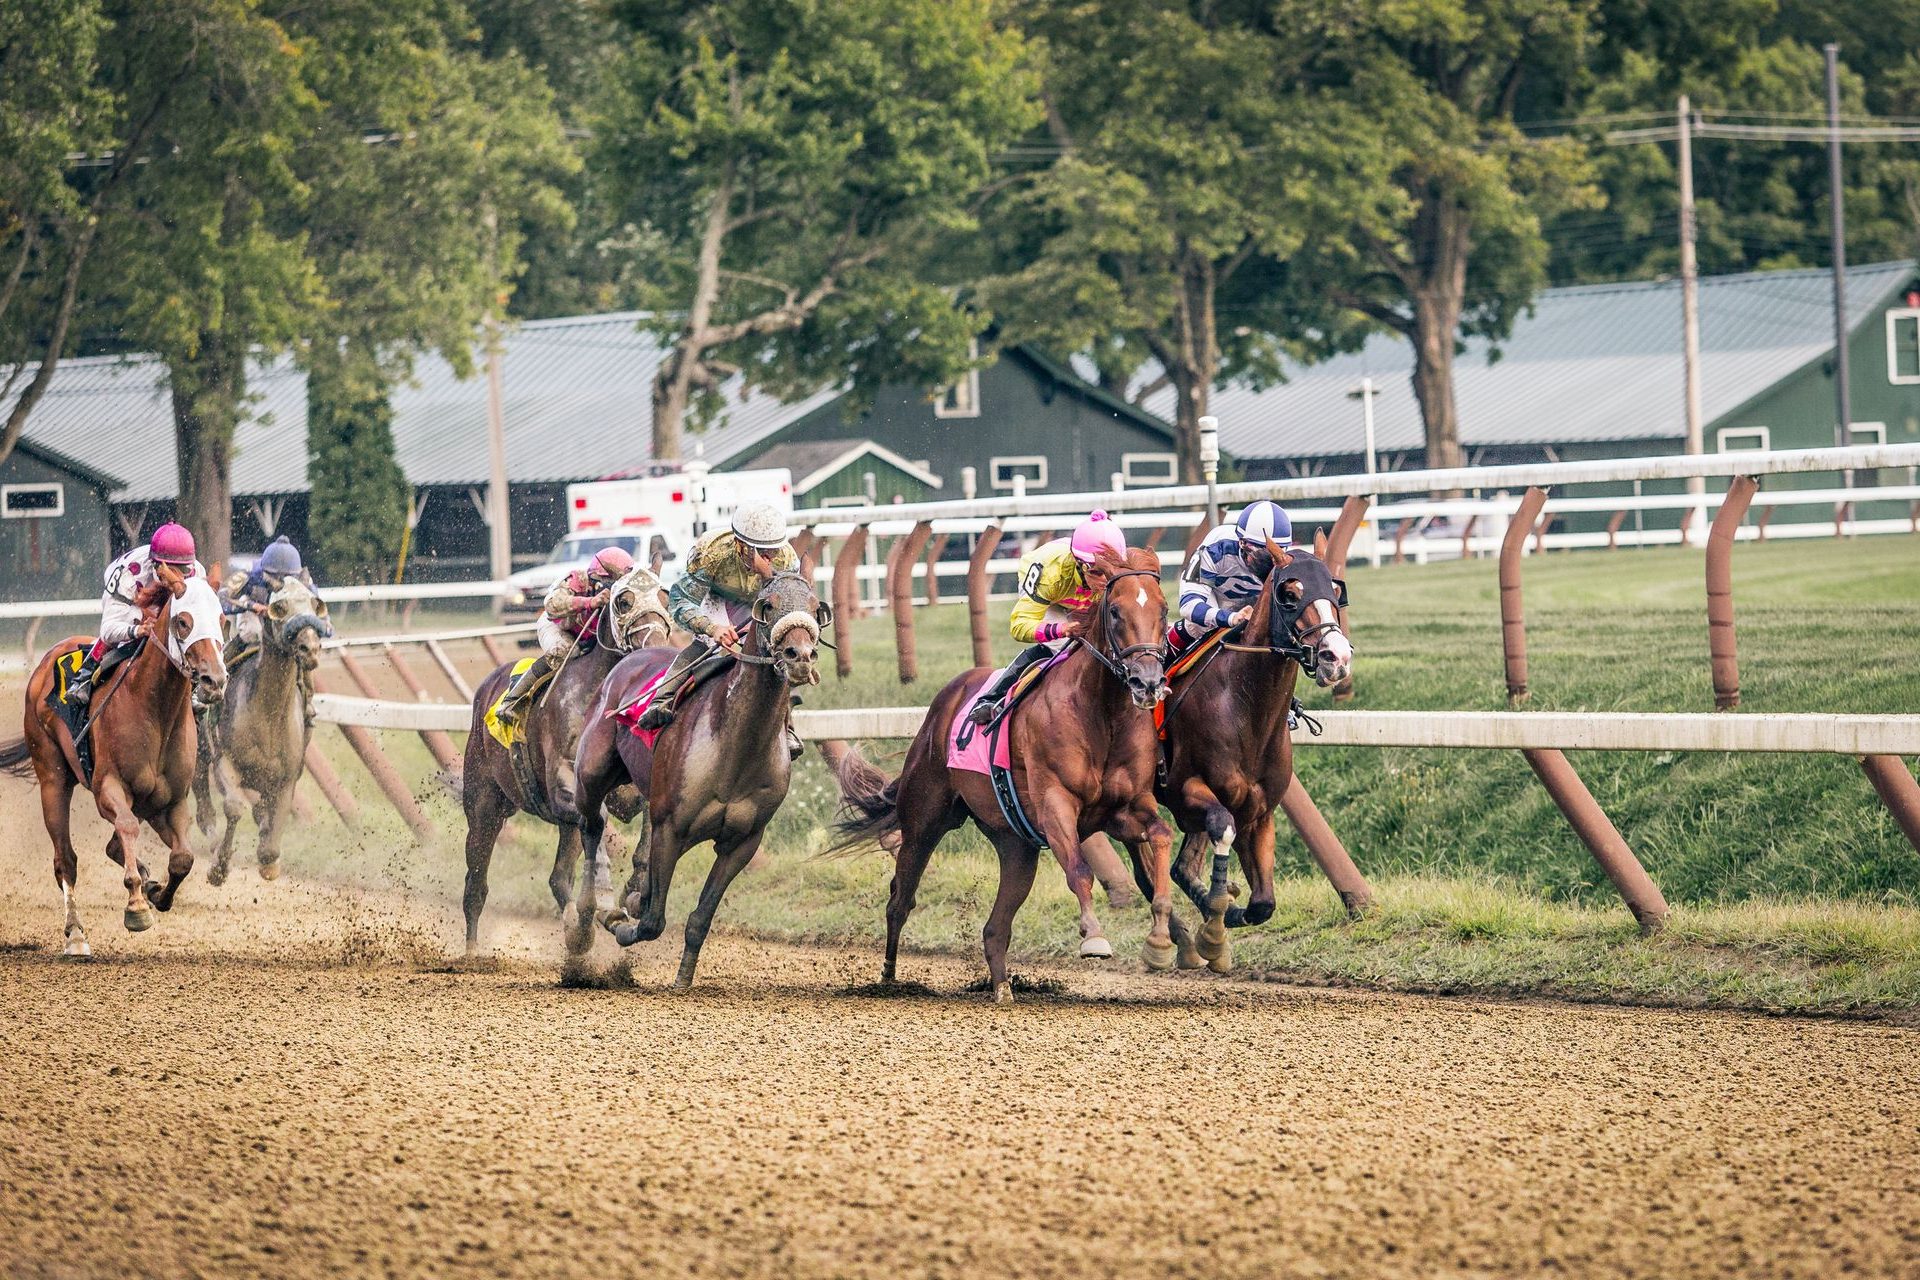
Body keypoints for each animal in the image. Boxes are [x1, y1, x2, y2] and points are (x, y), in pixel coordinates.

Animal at [0, 564, 228, 955]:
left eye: (222, 618)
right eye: (183, 622)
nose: (215, 680)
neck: (155, 709)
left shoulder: (171, 800)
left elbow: (182, 858)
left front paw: (157, 892)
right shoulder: (109, 787)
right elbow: (127, 828)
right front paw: (137, 905)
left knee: (114, 846)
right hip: (53, 777)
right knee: (66, 859)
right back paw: (76, 934)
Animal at [195, 579, 330, 882]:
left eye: (314, 604)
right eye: (279, 607)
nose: (310, 648)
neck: (268, 718)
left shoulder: (287, 777)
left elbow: (270, 845)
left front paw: (270, 862)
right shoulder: (224, 760)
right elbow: (233, 807)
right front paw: (219, 867)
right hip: (196, 753)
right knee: (203, 805)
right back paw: (212, 845)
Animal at [568, 571, 825, 990]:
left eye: (816, 607)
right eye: (768, 605)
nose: (799, 656)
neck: (736, 749)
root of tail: (629, 659)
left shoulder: (742, 843)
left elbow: (700, 918)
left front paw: (684, 978)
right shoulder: (671, 828)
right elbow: (653, 922)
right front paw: (622, 925)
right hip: (591, 776)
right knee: (590, 829)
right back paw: (589, 920)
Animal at [825, 545, 1167, 1005]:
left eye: (1163, 608)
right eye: (1114, 611)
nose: (1147, 683)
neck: (1101, 712)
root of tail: (942, 704)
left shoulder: (1125, 807)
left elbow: (1160, 837)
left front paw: (1162, 938)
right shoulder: (1055, 804)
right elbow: (1079, 870)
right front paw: (1094, 936)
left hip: (1015, 845)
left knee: (995, 926)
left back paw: (1003, 987)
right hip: (925, 820)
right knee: (900, 900)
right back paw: (890, 978)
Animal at [1152, 541, 1351, 971]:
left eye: (1335, 588)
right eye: (1290, 593)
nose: (1337, 657)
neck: (1242, 705)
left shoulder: (1257, 809)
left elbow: (1262, 905)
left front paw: (1225, 912)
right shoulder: (1185, 789)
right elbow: (1221, 827)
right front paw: (1216, 920)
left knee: (1179, 867)